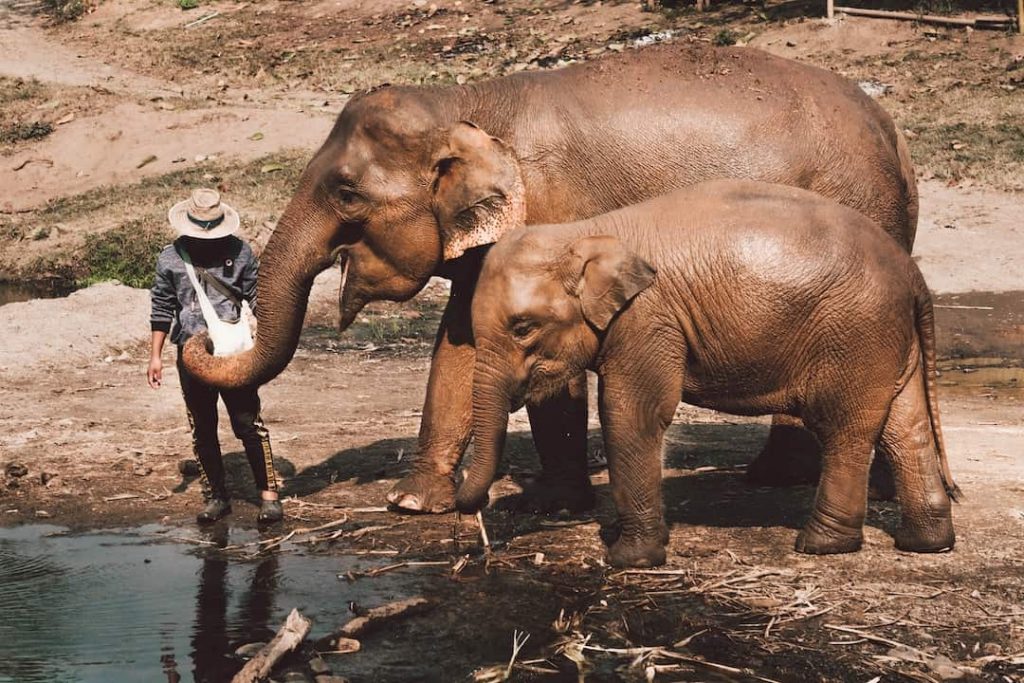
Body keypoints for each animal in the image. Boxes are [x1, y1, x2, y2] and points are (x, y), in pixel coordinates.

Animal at [186, 41, 921, 511]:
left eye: (345, 193)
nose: (197, 335)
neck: (465, 102)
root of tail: (893, 130)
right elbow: (457, 344)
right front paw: (414, 503)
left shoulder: (556, 212)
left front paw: (557, 505)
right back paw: (794, 480)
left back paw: (785, 480)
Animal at [460, 179, 962, 569]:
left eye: (523, 328)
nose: (480, 518)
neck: (585, 233)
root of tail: (914, 274)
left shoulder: (648, 320)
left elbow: (632, 414)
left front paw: (628, 559)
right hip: (886, 338)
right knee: (905, 425)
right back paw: (927, 544)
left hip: (854, 333)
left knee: (844, 429)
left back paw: (820, 545)